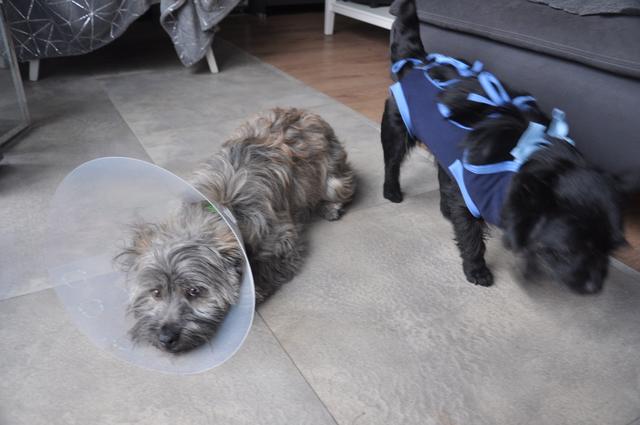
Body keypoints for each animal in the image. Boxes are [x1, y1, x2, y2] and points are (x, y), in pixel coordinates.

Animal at [116, 108, 355, 353]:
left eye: (194, 291)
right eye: (155, 292)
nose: (166, 338)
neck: (220, 206)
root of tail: (304, 112)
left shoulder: (282, 241)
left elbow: (267, 265)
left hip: (333, 180)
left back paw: (330, 207)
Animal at [382, 0, 634, 294]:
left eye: (611, 249)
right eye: (569, 250)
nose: (595, 287)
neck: (523, 158)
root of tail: (418, 61)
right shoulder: (470, 197)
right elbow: (471, 236)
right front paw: (477, 270)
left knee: (444, 176)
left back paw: (445, 209)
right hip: (396, 130)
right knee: (392, 163)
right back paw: (392, 192)